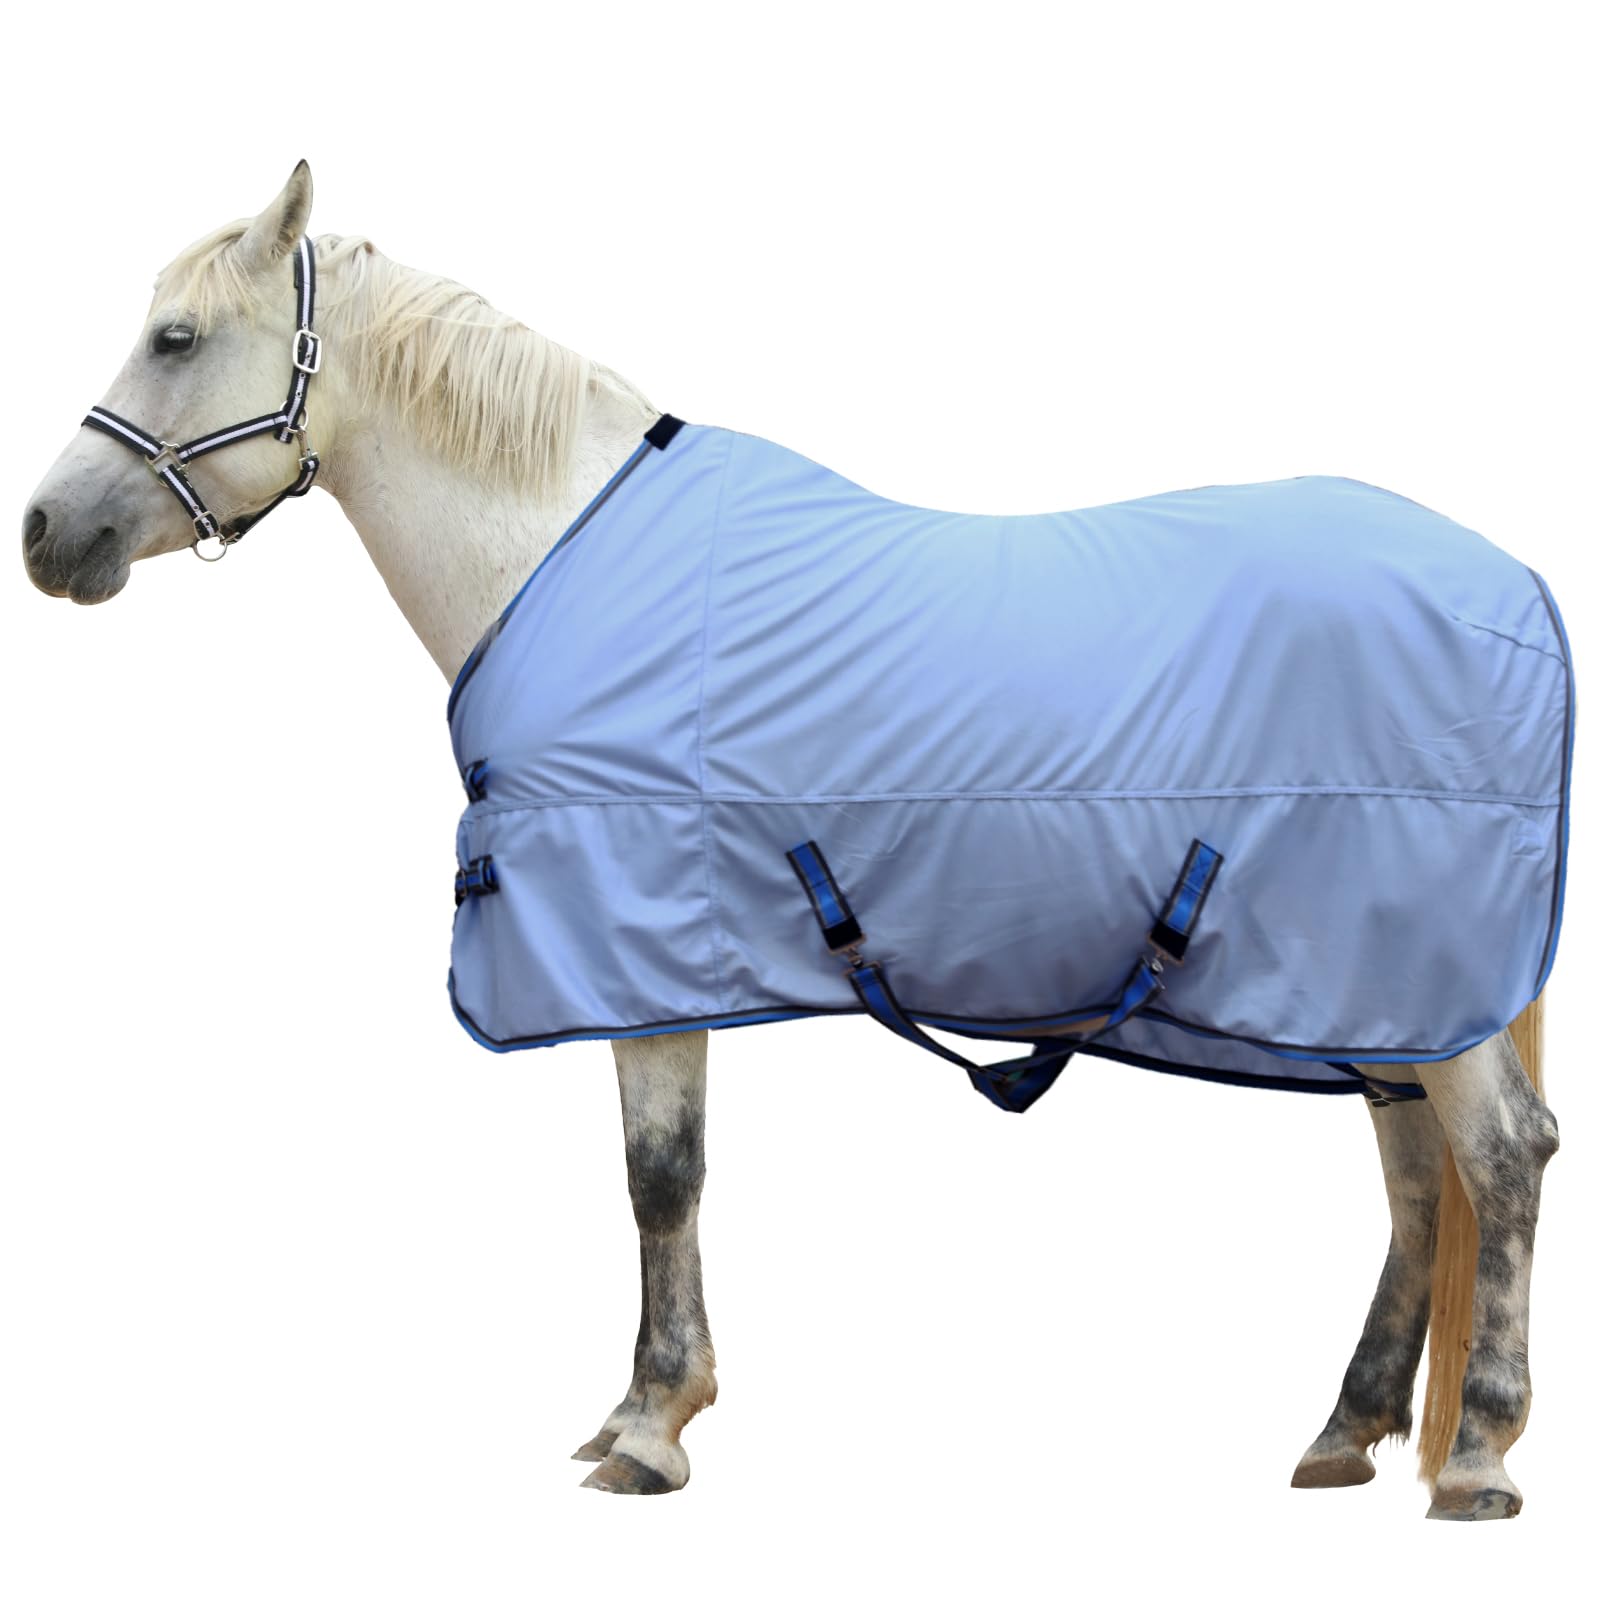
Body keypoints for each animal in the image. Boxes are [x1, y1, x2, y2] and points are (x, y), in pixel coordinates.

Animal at [21, 163, 1564, 1515]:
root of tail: (1518, 593)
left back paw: (1479, 1457)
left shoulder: (637, 945)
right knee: (1417, 1173)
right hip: (1378, 989)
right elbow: (663, 1177)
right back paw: (1347, 1431)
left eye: (174, 338)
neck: (559, 549)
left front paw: (650, 1428)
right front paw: (645, 1410)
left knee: (1501, 1159)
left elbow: (660, 1179)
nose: (45, 533)